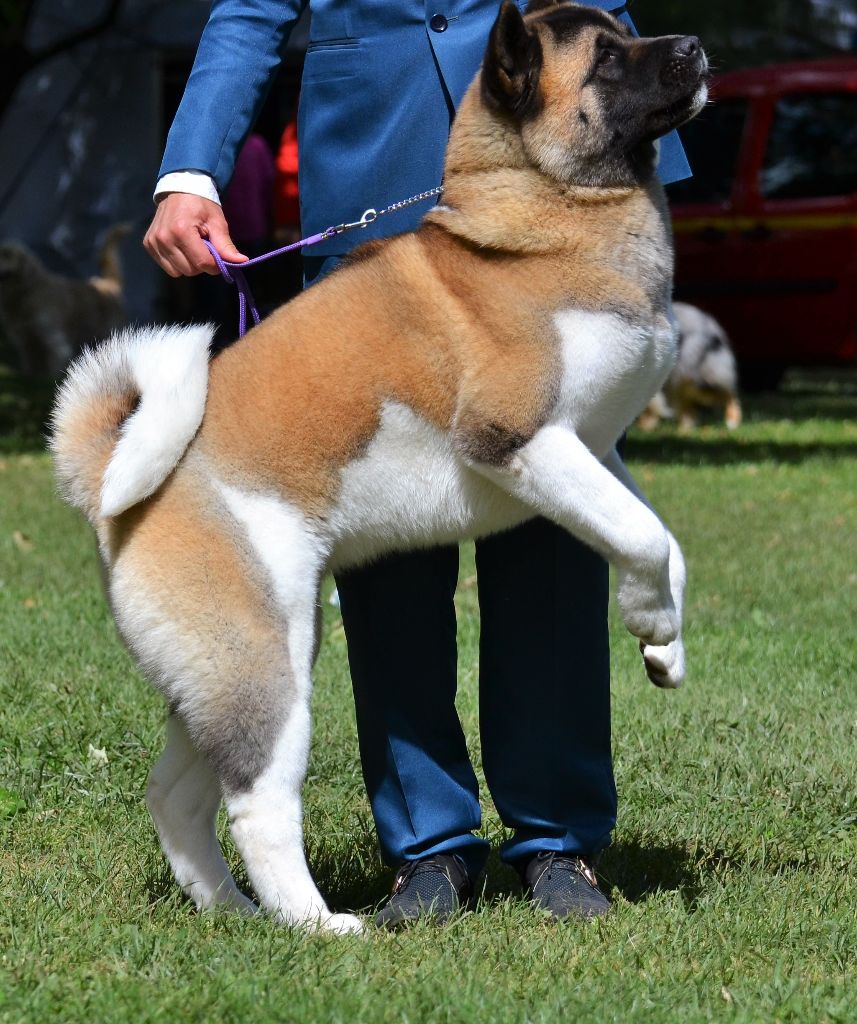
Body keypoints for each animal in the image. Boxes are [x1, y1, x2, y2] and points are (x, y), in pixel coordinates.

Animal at [0, 224, 128, 380]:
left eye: (7, 254)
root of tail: (110, 284)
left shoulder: (54, 339)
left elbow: (54, 366)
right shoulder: (26, 339)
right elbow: (30, 364)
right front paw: (30, 376)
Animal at [51, 0, 708, 933]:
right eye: (607, 58)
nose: (691, 46)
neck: (544, 210)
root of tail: (116, 482)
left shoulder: (597, 453)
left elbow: (656, 540)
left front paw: (662, 643)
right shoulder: (518, 439)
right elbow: (644, 537)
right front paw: (653, 624)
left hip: (223, 671)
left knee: (177, 796)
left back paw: (232, 913)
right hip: (267, 668)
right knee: (257, 801)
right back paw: (318, 925)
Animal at [634, 303, 741, 432]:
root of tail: (711, 323)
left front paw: (645, 427)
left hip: (698, 378)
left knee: (730, 394)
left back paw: (732, 422)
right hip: (683, 379)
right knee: (689, 408)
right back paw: (683, 430)